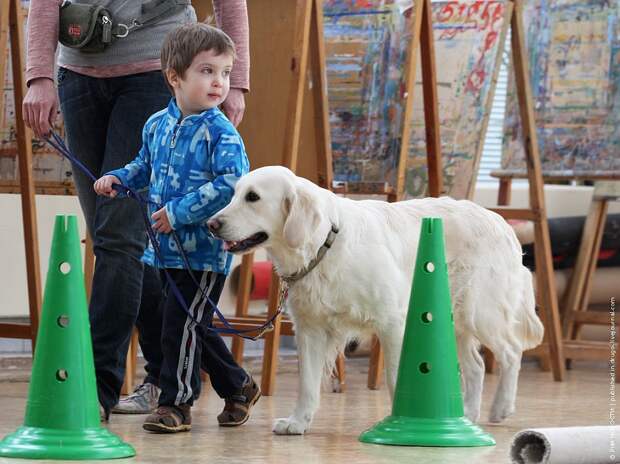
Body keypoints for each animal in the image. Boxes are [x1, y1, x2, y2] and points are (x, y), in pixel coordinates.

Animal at [208, 166, 544, 436]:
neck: (325, 244)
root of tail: (501, 221)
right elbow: (307, 383)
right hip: (453, 319)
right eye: (235, 194)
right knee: (476, 366)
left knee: (511, 352)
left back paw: (501, 407)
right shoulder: (311, 329)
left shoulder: (394, 324)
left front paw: (405, 423)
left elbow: (396, 376)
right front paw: (298, 422)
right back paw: (469, 416)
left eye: (253, 197)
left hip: (480, 311)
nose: (211, 224)